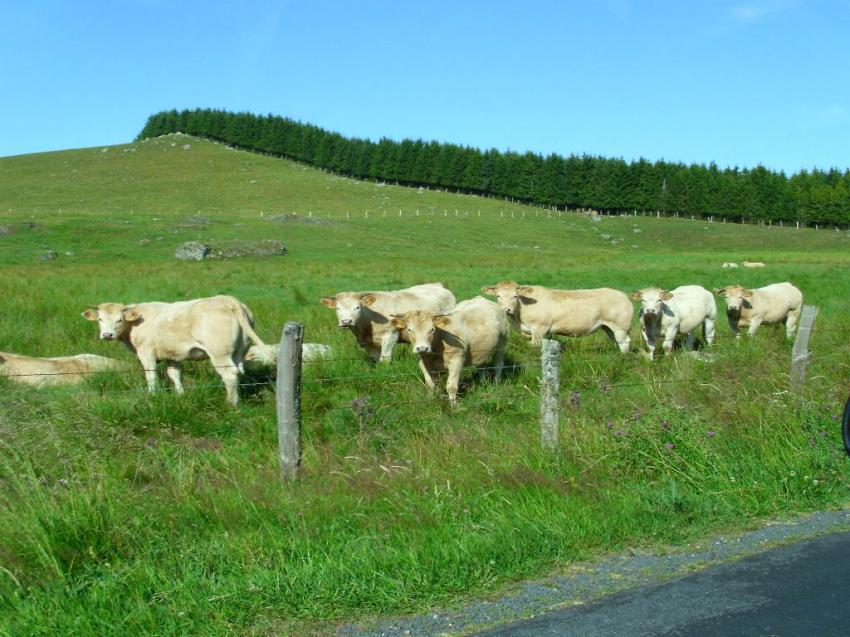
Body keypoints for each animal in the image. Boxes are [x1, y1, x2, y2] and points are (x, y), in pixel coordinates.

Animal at [82, 295, 270, 405]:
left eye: (119, 319)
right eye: (100, 319)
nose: (107, 334)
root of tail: (228, 300)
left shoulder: (146, 353)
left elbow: (151, 375)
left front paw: (153, 396)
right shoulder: (173, 355)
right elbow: (174, 374)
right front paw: (180, 395)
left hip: (219, 354)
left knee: (230, 375)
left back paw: (231, 403)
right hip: (239, 351)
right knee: (239, 372)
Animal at [320, 283, 456, 362]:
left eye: (357, 307)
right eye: (338, 308)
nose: (346, 321)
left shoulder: (390, 336)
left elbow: (384, 359)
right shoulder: (368, 344)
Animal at [480, 281, 632, 352]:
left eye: (515, 296)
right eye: (498, 296)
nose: (506, 310)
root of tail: (623, 295)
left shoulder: (539, 328)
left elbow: (536, 346)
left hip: (620, 326)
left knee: (624, 342)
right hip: (608, 327)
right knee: (615, 341)